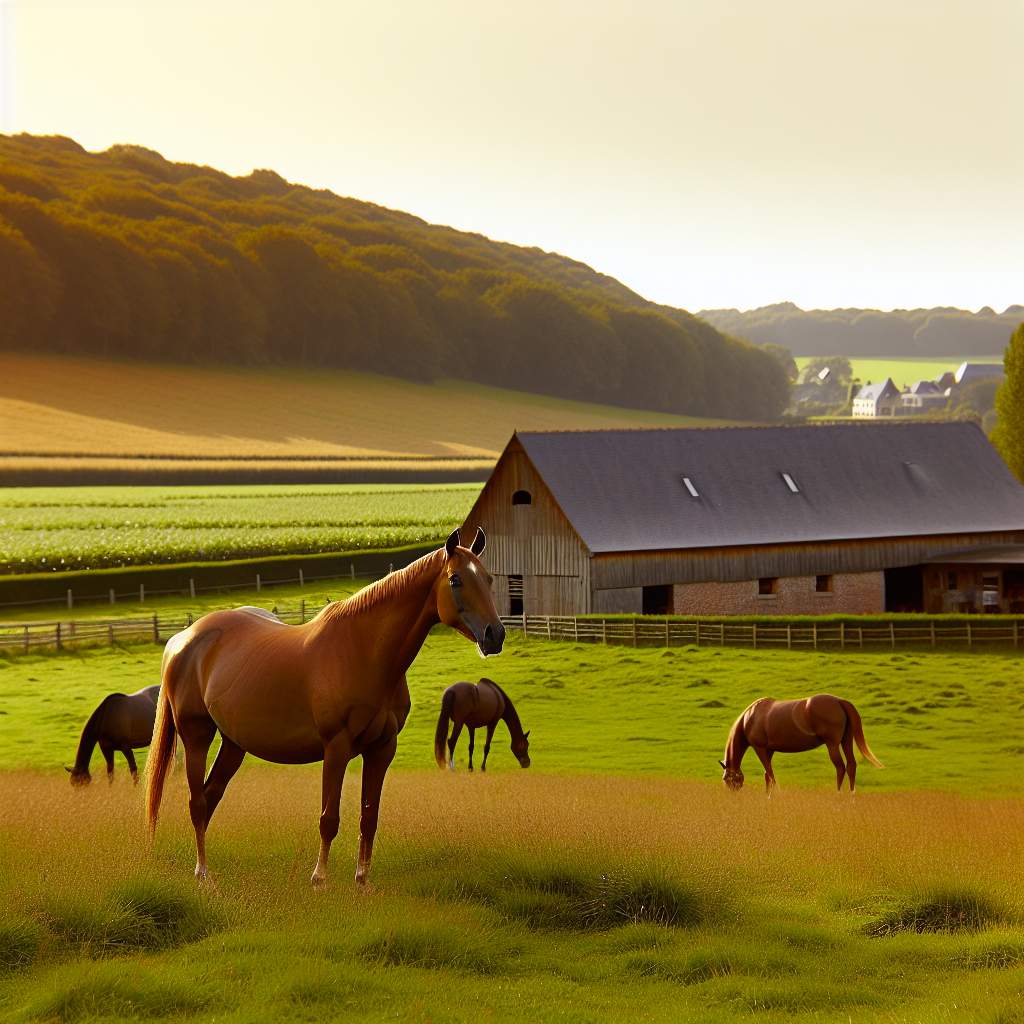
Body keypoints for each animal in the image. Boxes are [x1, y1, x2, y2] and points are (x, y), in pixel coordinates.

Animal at [146, 532, 505, 884]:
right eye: (455, 579)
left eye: (488, 578)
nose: (495, 635)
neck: (363, 652)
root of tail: (183, 639)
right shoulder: (337, 747)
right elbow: (329, 818)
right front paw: (319, 878)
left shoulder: (382, 749)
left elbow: (369, 817)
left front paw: (362, 881)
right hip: (197, 736)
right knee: (197, 802)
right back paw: (202, 871)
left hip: (235, 744)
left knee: (211, 796)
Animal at [720, 692, 880, 794]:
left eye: (726, 779)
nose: (733, 795)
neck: (750, 718)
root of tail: (839, 701)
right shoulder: (769, 750)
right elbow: (767, 774)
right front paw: (768, 795)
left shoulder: (759, 748)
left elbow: (770, 773)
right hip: (846, 741)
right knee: (851, 765)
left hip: (832, 745)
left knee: (840, 767)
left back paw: (838, 793)